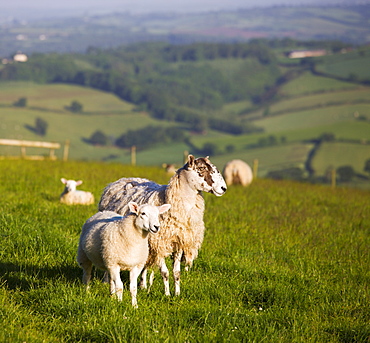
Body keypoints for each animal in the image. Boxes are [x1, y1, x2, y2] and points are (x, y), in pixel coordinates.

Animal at [98, 155, 227, 296]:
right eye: (202, 168)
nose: (224, 188)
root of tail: (120, 180)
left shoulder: (178, 242)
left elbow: (177, 273)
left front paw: (177, 294)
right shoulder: (159, 243)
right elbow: (165, 273)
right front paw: (167, 294)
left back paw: (143, 285)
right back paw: (106, 281)